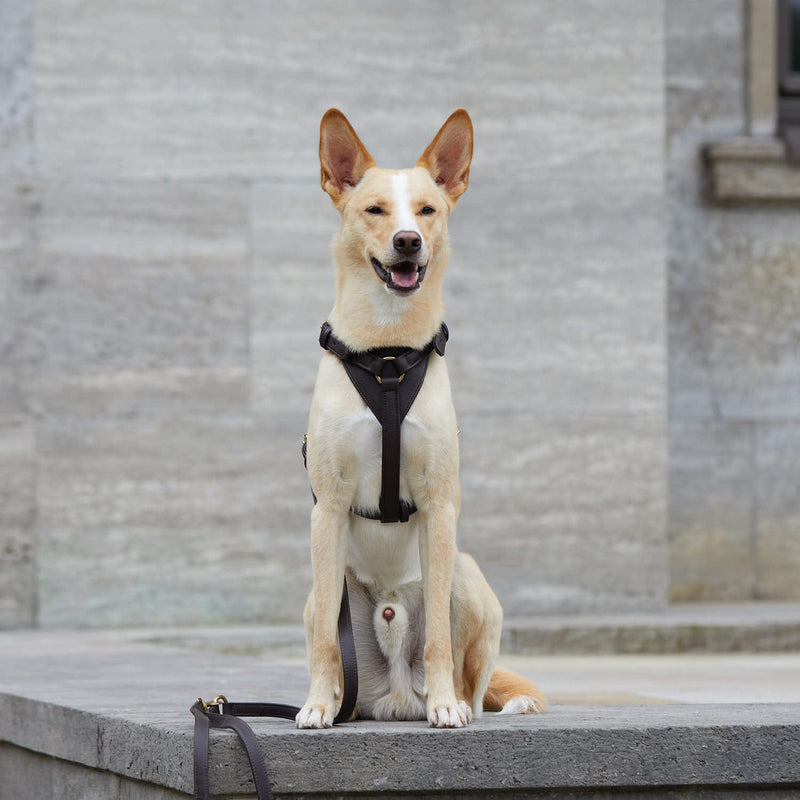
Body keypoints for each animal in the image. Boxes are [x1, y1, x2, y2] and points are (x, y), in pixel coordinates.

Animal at [296, 109, 548, 728]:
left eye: (427, 210)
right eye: (375, 210)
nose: (407, 241)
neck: (387, 354)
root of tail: (393, 695)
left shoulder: (439, 505)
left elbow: (436, 635)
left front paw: (444, 707)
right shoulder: (326, 510)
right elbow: (327, 641)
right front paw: (316, 704)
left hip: (466, 574)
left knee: (470, 678)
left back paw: (451, 698)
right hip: (320, 593)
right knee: (332, 637)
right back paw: (342, 702)